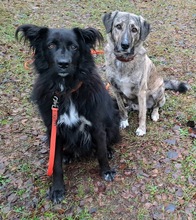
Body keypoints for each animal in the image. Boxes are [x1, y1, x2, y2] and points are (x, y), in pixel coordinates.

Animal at [15, 24, 119, 203]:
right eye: (50, 45)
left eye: (74, 47)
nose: (63, 63)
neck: (66, 91)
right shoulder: (54, 131)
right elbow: (56, 165)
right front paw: (57, 190)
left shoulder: (97, 126)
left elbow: (101, 152)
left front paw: (106, 171)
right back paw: (67, 154)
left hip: (113, 122)